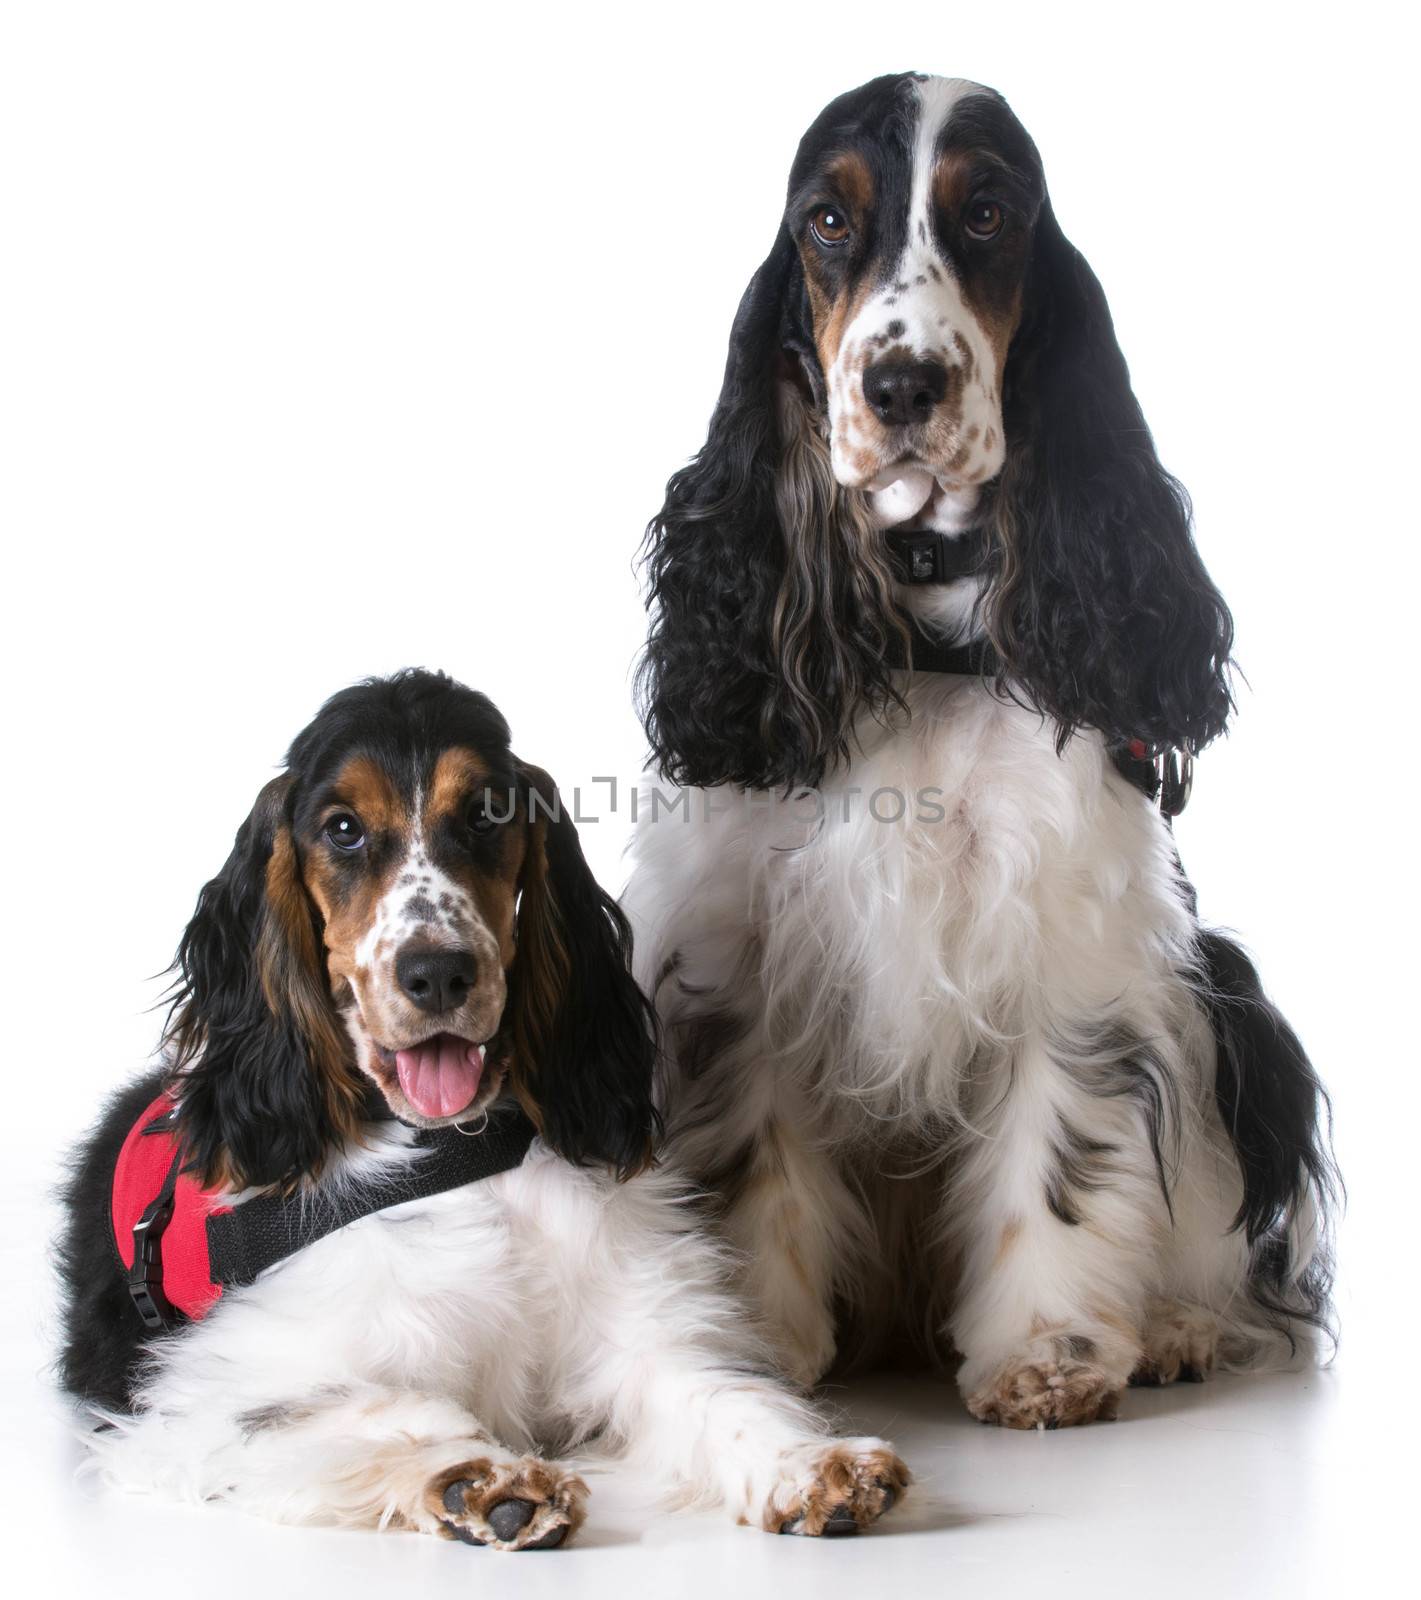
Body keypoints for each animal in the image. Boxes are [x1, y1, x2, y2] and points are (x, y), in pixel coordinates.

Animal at [58, 668, 908, 1542]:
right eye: (341, 829)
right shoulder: (210, 1401)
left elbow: (718, 1393)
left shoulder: (637, 1336)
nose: (438, 971)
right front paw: (480, 1479)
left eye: (486, 815)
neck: (455, 1150)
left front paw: (812, 1464)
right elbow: (388, 1409)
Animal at [627, 72, 1337, 1427]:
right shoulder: (743, 953)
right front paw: (756, 1341)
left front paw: (1048, 1352)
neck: (919, 638)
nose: (902, 384)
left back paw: (1174, 1327)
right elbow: (751, 1154)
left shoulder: (1071, 938)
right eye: (828, 220)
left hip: (1225, 994)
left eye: (990, 213)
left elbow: (1061, 1147)